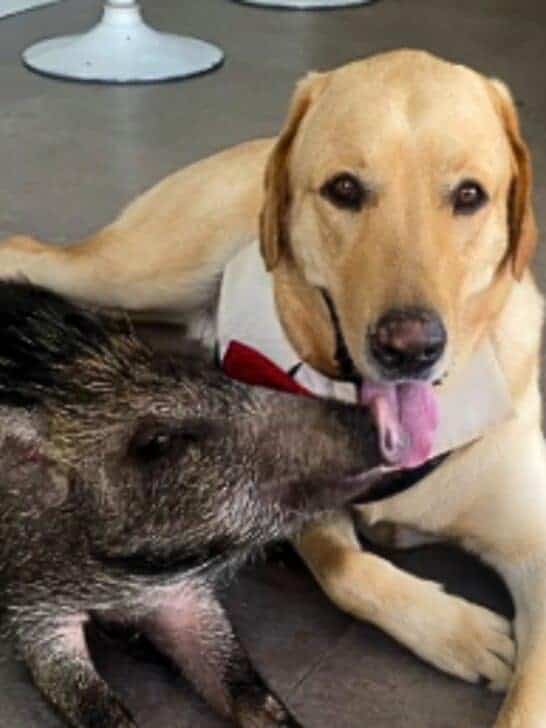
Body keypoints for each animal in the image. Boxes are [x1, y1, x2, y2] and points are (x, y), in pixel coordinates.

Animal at [0, 282, 388, 728]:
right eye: (157, 442)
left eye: (225, 383)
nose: (373, 418)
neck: (118, 579)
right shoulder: (35, 614)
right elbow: (89, 702)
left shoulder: (183, 596)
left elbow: (243, 687)